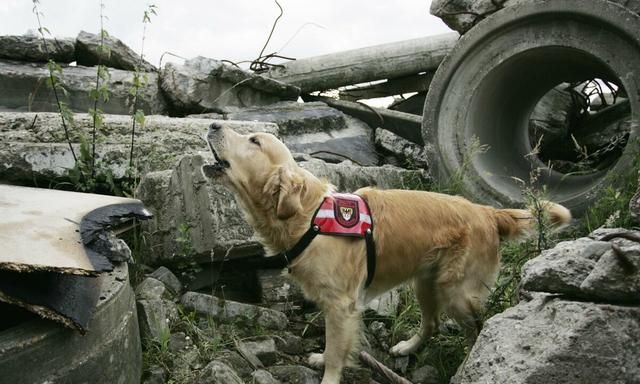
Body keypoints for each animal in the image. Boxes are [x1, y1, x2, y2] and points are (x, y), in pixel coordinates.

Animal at [202, 123, 572, 384]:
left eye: (254, 141)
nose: (213, 125)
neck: (309, 217)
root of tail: (488, 212)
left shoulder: (341, 304)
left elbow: (337, 351)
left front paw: (328, 374)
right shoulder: (334, 304)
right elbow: (333, 345)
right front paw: (322, 358)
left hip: (458, 292)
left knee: (476, 330)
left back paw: (467, 365)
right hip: (426, 281)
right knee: (432, 323)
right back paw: (407, 347)